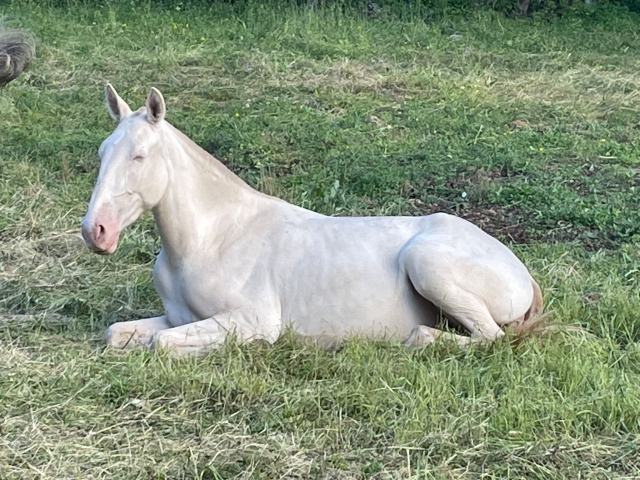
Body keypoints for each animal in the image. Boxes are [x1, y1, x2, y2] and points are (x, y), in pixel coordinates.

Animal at [79, 84, 540, 356]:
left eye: (140, 156)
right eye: (102, 152)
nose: (95, 231)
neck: (213, 239)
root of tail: (521, 272)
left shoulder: (254, 321)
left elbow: (161, 343)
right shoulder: (180, 318)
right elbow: (119, 332)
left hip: (428, 264)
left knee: (490, 338)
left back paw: (418, 339)